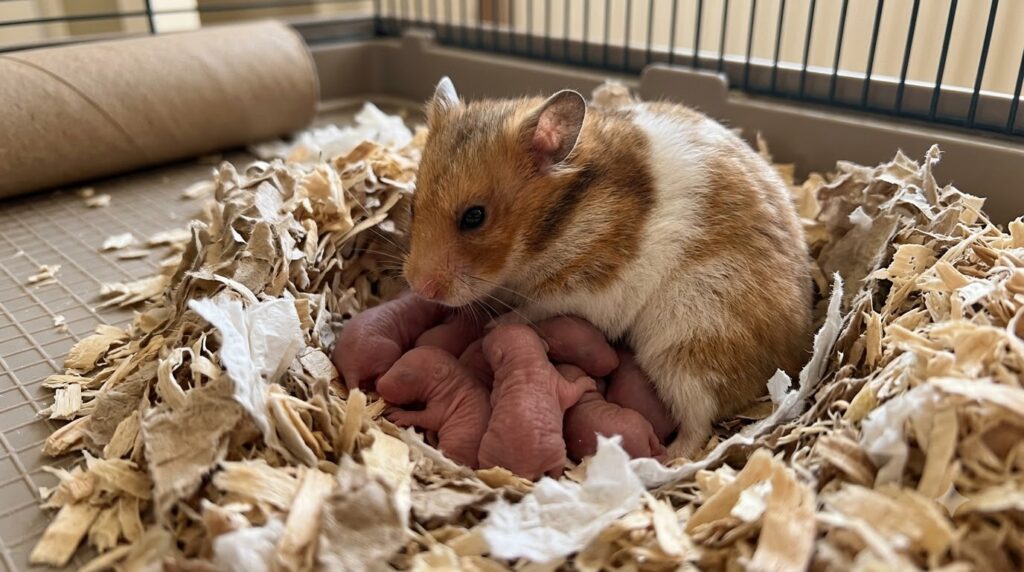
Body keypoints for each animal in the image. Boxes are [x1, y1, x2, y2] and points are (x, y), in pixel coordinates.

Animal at [403, 77, 812, 458]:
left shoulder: (589, 289)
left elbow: (532, 310)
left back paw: (668, 460)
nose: (421, 288)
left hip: (688, 343)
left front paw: (492, 326)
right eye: (412, 205)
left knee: (698, 423)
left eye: (475, 217)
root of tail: (798, 353)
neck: (552, 226)